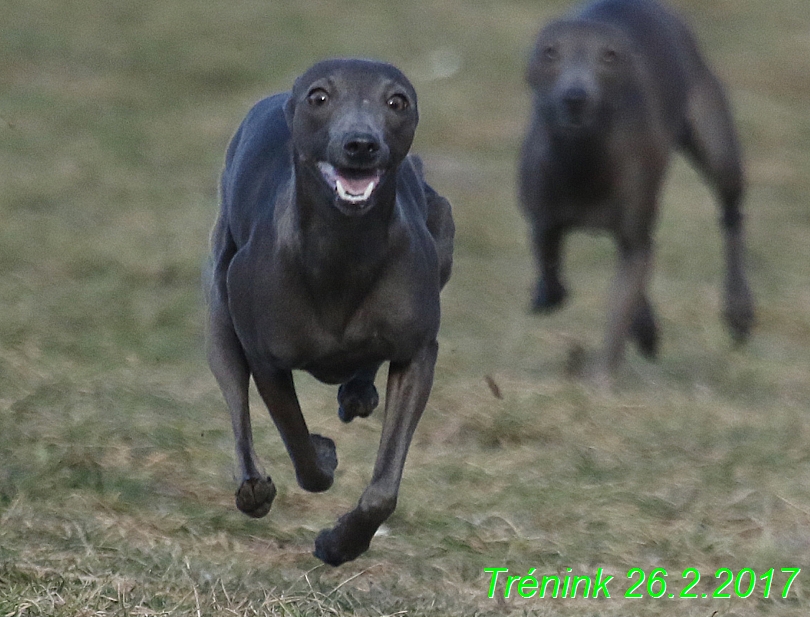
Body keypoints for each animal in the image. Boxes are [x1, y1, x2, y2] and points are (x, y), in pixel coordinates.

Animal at [205, 57, 452, 564]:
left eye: (397, 101)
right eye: (319, 96)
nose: (361, 144)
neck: (343, 249)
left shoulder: (417, 354)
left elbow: (382, 491)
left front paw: (340, 544)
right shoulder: (266, 361)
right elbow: (302, 452)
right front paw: (322, 453)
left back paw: (358, 391)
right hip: (220, 305)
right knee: (237, 404)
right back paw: (253, 486)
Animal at [516, 0, 752, 378]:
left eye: (609, 55)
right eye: (550, 51)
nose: (575, 96)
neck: (583, 165)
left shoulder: (635, 229)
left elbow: (618, 310)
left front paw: (600, 378)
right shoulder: (543, 213)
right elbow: (550, 260)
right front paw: (545, 294)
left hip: (715, 142)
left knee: (731, 213)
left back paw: (739, 311)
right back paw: (646, 328)